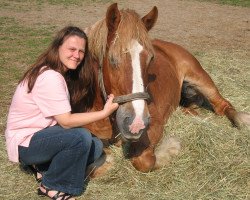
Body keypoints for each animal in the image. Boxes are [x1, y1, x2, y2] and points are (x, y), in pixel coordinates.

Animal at [81, 2, 249, 175]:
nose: (137, 123)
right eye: (113, 60)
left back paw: (242, 121)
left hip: (201, 79)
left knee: (222, 106)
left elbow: (144, 161)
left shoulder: (154, 123)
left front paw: (171, 148)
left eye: (151, 59)